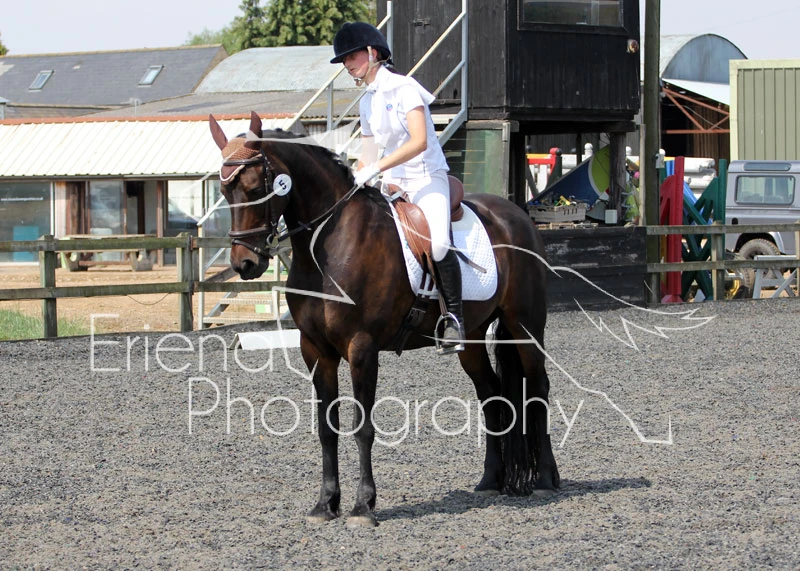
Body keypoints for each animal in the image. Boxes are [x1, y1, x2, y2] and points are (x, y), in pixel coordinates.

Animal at [209, 111, 559, 528]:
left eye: (253, 186)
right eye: (224, 188)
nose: (245, 264)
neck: (328, 245)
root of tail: (516, 215)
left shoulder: (362, 348)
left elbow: (362, 427)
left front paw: (363, 506)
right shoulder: (315, 351)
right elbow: (327, 428)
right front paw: (325, 504)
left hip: (525, 328)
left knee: (537, 388)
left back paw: (545, 479)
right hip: (471, 339)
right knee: (491, 395)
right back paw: (490, 481)